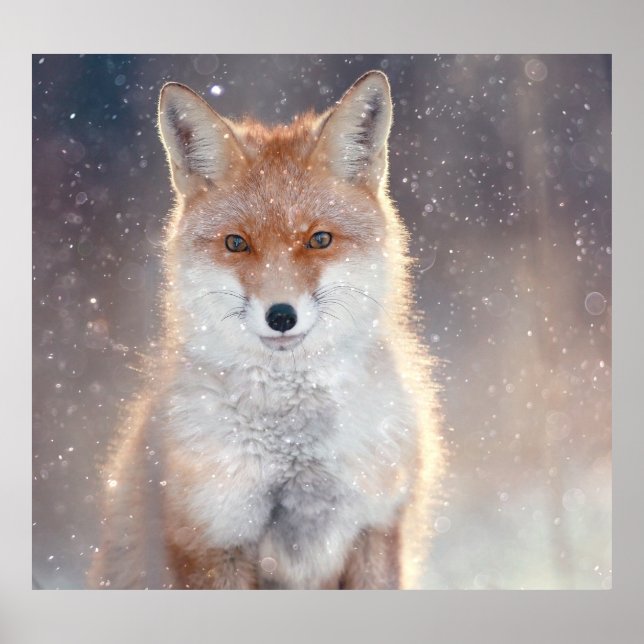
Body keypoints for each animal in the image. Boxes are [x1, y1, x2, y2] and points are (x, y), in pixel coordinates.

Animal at [88, 70, 444, 590]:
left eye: (319, 239)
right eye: (237, 243)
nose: (281, 316)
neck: (294, 448)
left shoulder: (376, 527)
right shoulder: (213, 537)